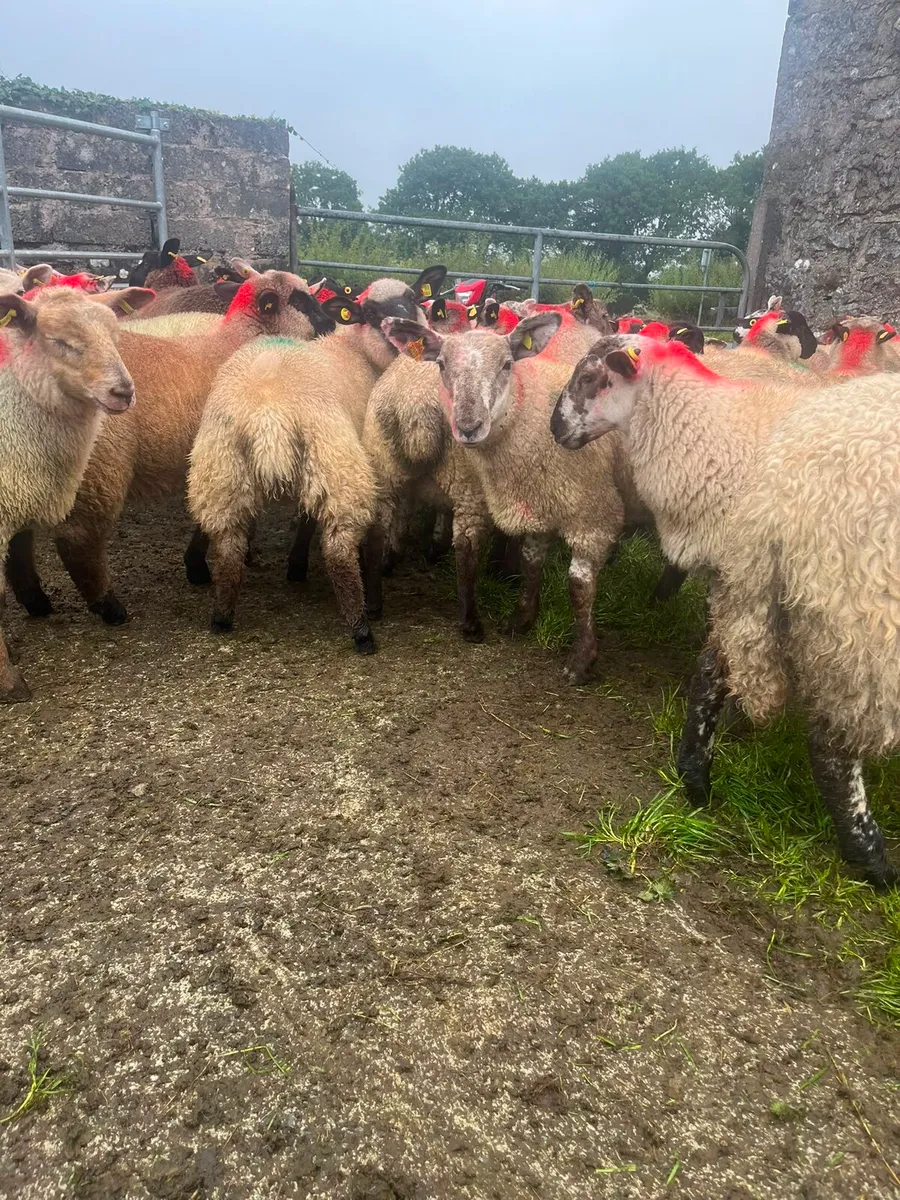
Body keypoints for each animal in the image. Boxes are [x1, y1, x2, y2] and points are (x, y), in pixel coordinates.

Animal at [5, 272, 327, 626]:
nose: (331, 325)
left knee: (20, 539)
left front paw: (199, 564)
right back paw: (109, 607)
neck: (239, 341)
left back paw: (36, 601)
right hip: (101, 467)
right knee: (78, 539)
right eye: (301, 301)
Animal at [185, 265, 447, 649]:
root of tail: (268, 413)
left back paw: (221, 616)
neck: (357, 350)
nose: (404, 328)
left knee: (227, 542)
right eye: (370, 313)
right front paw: (300, 566)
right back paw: (362, 630)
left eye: (412, 298)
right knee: (338, 547)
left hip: (220, 464)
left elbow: (305, 516)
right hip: (335, 455)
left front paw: (295, 566)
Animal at [384, 312, 642, 683]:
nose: (469, 427)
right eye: (442, 364)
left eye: (507, 364)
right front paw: (521, 619)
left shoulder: (592, 514)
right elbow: (531, 561)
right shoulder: (537, 501)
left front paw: (581, 659)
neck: (531, 416)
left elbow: (579, 588)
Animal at [709, 379, 900, 885]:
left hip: (755, 576)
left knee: (718, 658)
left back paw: (696, 777)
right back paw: (873, 862)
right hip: (863, 629)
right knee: (832, 749)